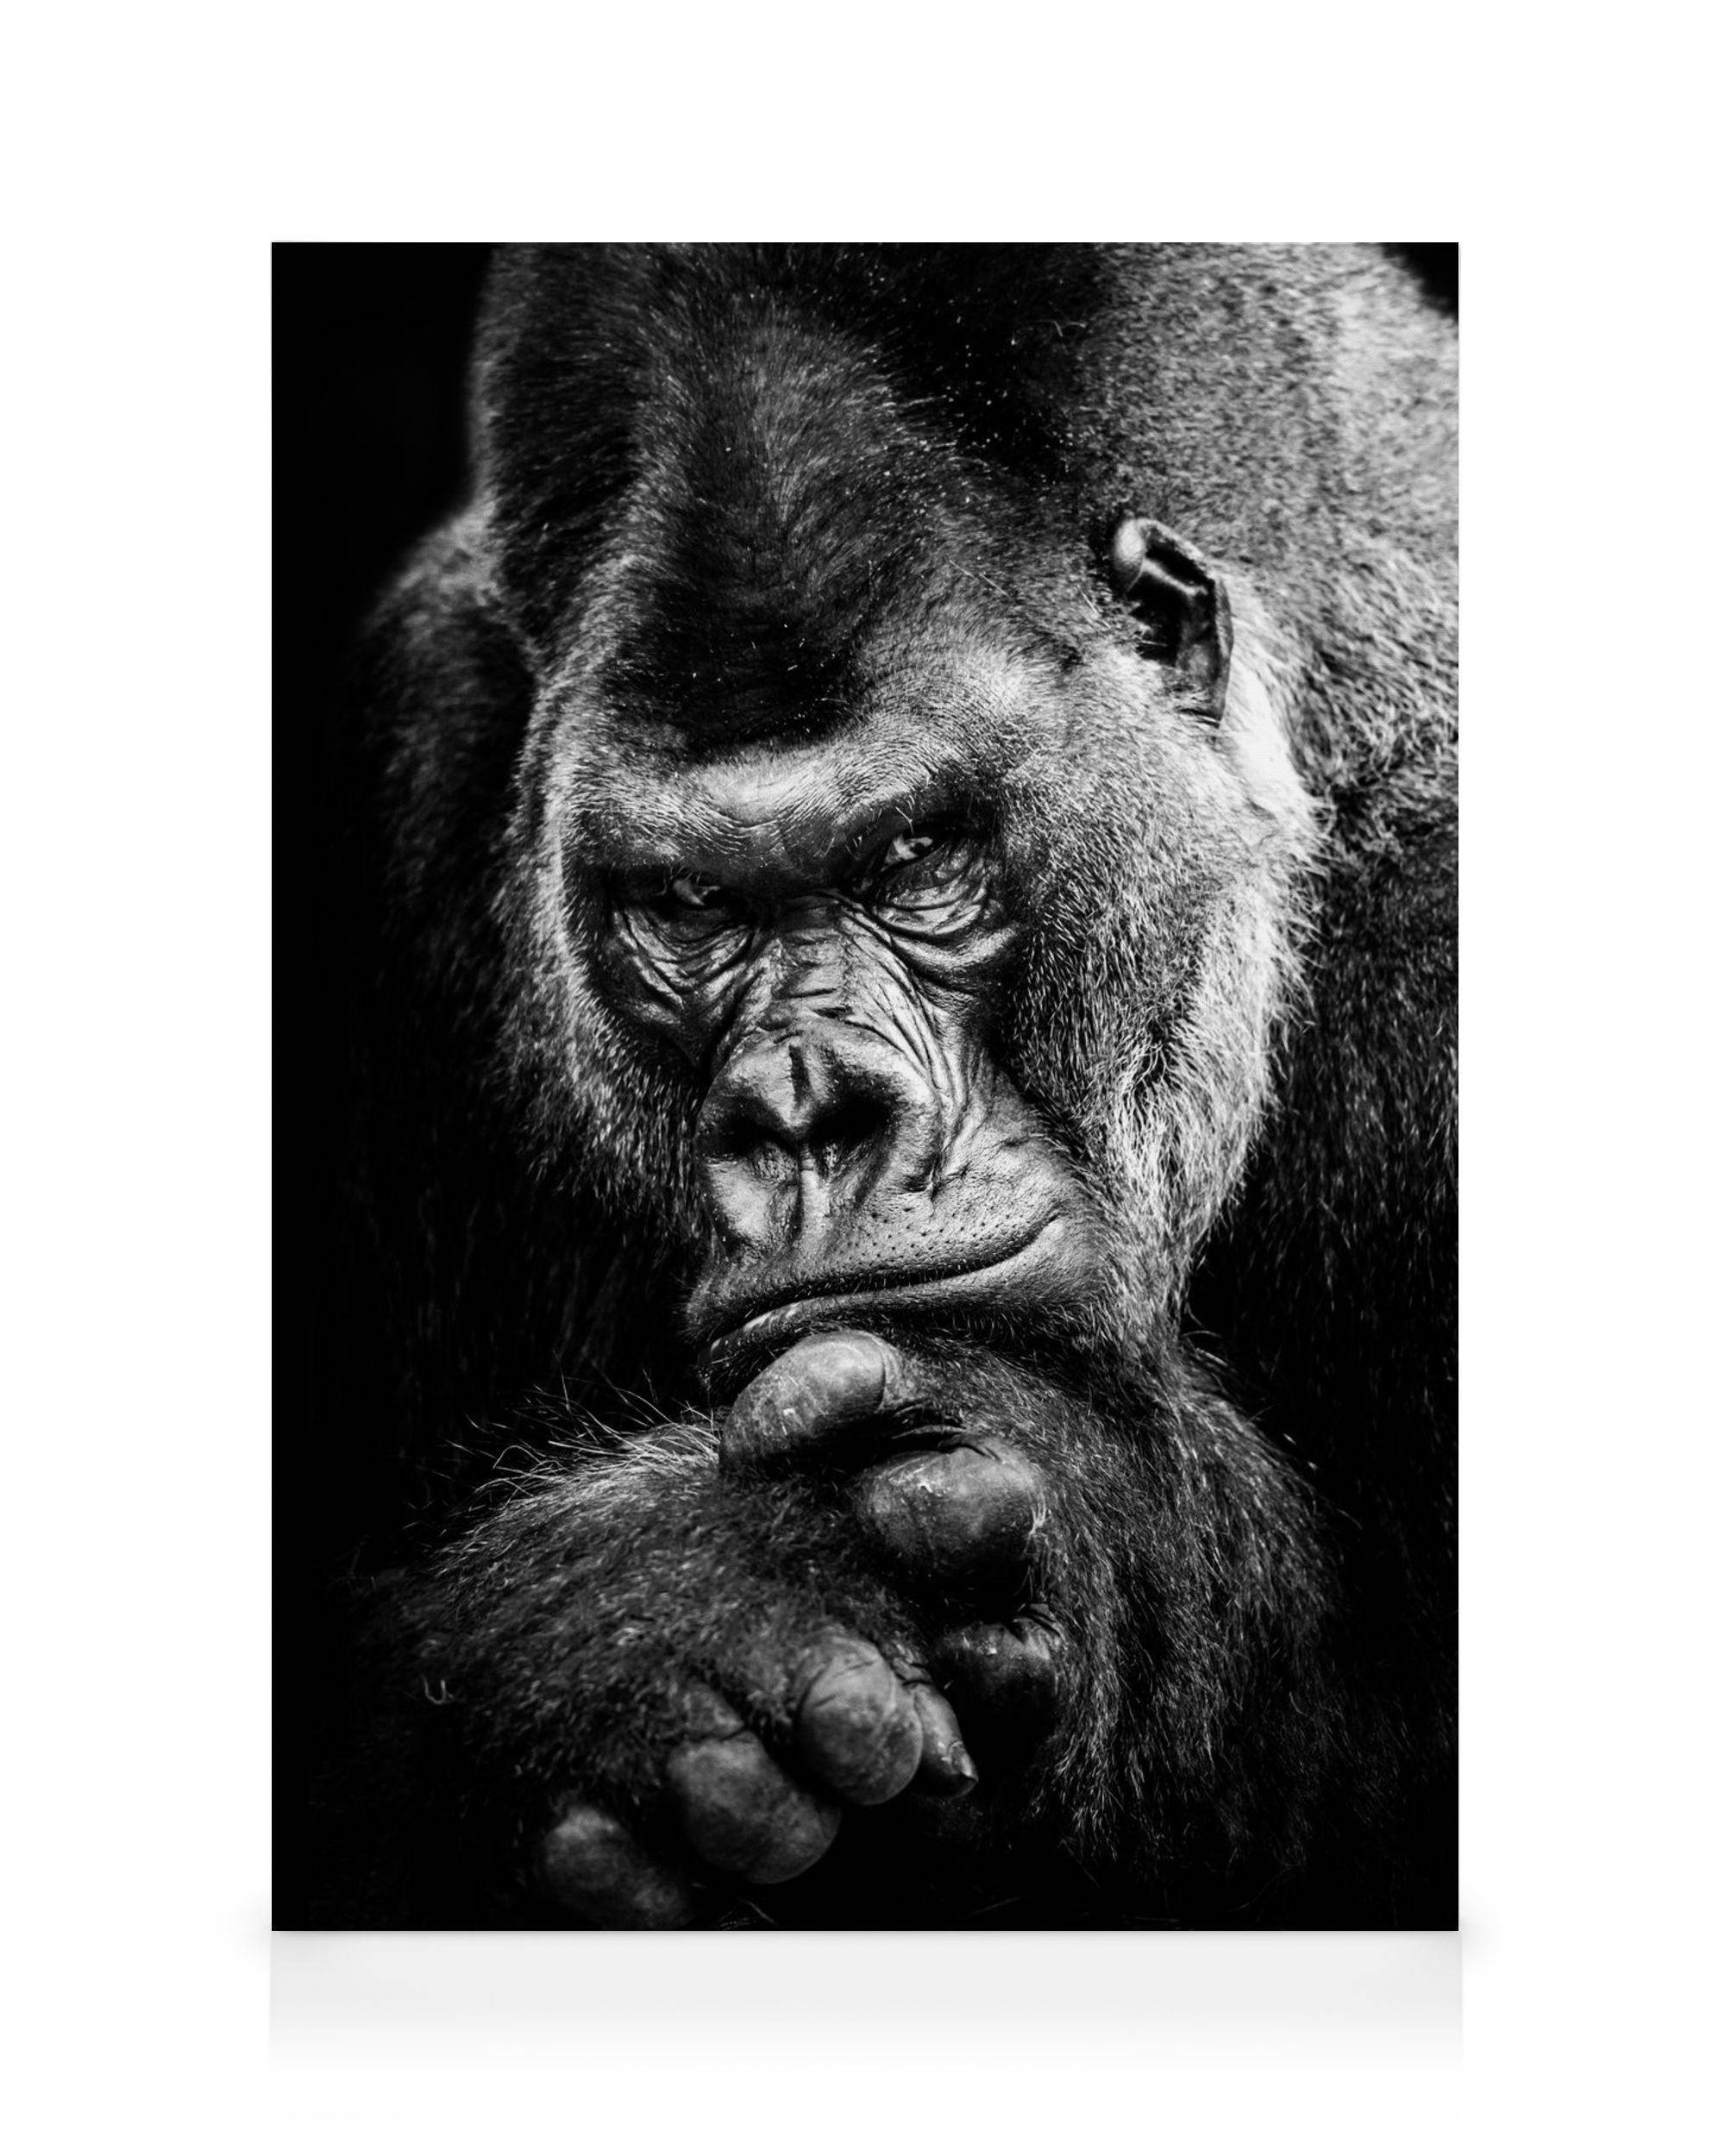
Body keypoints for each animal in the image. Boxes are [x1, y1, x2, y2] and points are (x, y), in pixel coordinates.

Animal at [286, 243, 1456, 1929]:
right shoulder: (416, 755)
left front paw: (1089, 1516)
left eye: (915, 857)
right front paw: (640, 1627)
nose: (806, 1112)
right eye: (689, 906)